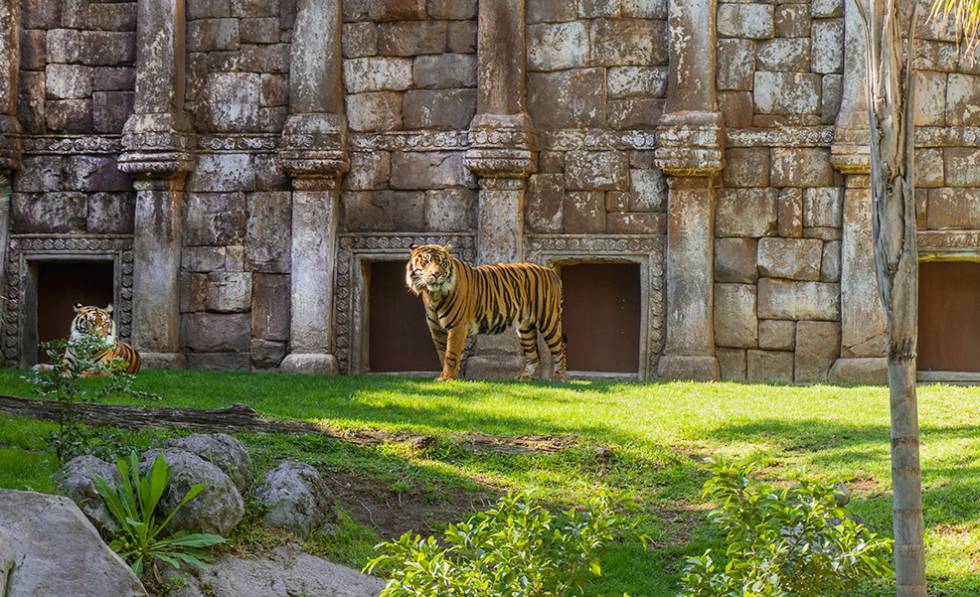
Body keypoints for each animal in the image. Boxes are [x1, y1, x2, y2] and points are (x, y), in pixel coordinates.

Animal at [405, 244, 567, 382]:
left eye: (443, 263)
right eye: (426, 261)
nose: (436, 274)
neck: (433, 295)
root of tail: (551, 272)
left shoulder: (457, 326)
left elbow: (451, 354)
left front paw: (447, 378)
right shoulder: (436, 329)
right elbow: (442, 353)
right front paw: (448, 377)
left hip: (548, 320)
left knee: (560, 350)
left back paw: (559, 378)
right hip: (525, 328)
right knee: (533, 355)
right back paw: (525, 377)